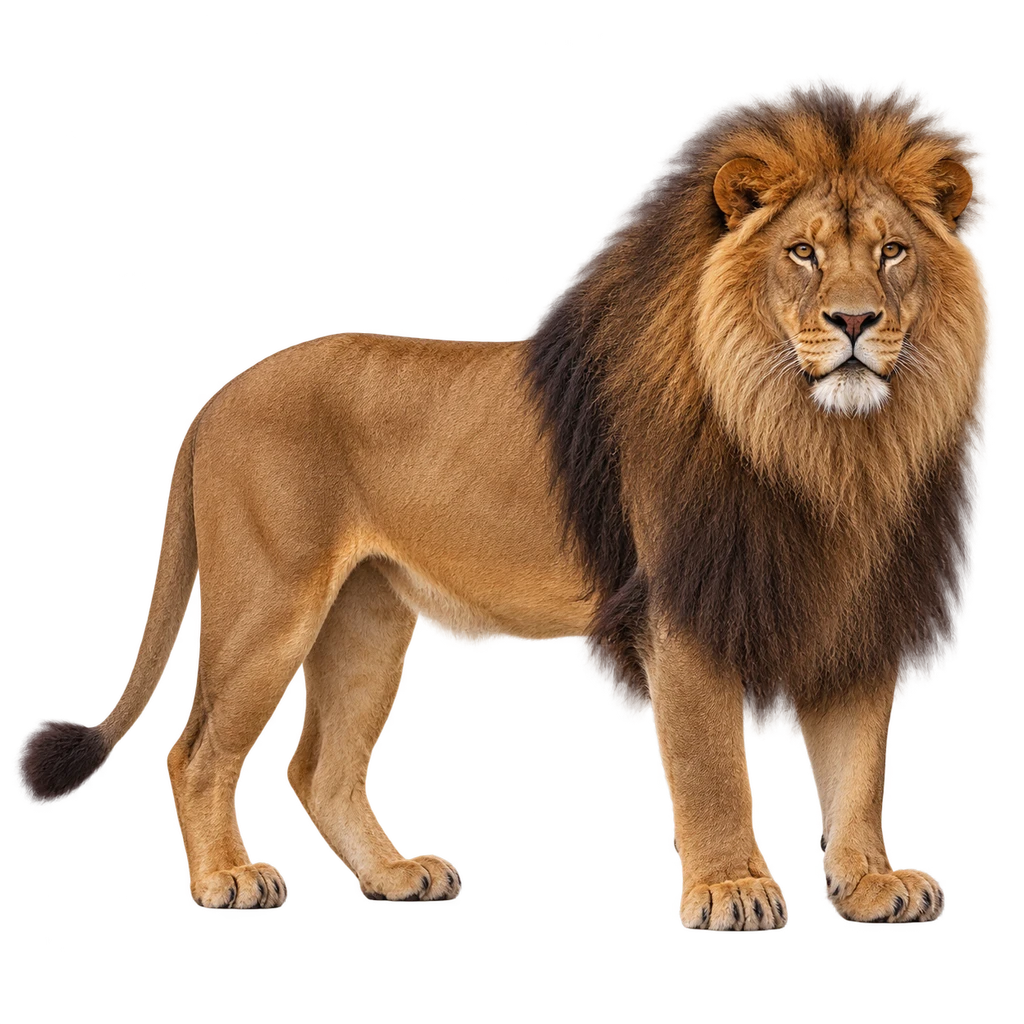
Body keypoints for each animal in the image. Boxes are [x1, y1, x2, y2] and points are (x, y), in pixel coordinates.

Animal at [15, 77, 992, 928]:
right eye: (802, 253)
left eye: (893, 252)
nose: (856, 322)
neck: (828, 450)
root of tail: (217, 397)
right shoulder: (678, 610)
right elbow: (712, 764)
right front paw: (734, 890)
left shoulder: (858, 609)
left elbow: (858, 766)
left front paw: (872, 883)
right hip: (266, 604)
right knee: (195, 749)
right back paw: (228, 878)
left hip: (365, 617)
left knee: (319, 770)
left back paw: (396, 874)